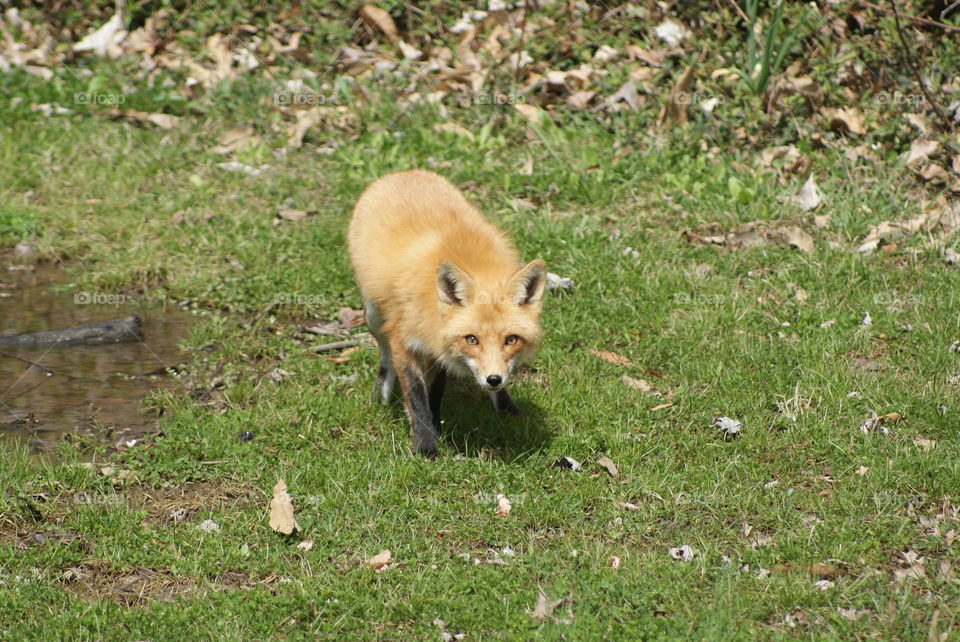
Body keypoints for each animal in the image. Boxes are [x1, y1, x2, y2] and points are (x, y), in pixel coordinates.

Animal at [348, 170, 547, 456]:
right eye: (472, 339)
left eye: (511, 339)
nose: (494, 379)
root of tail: (405, 172)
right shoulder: (403, 339)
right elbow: (417, 397)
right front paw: (426, 447)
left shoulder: (441, 346)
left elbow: (434, 392)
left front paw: (436, 428)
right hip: (374, 313)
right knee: (384, 353)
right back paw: (380, 393)